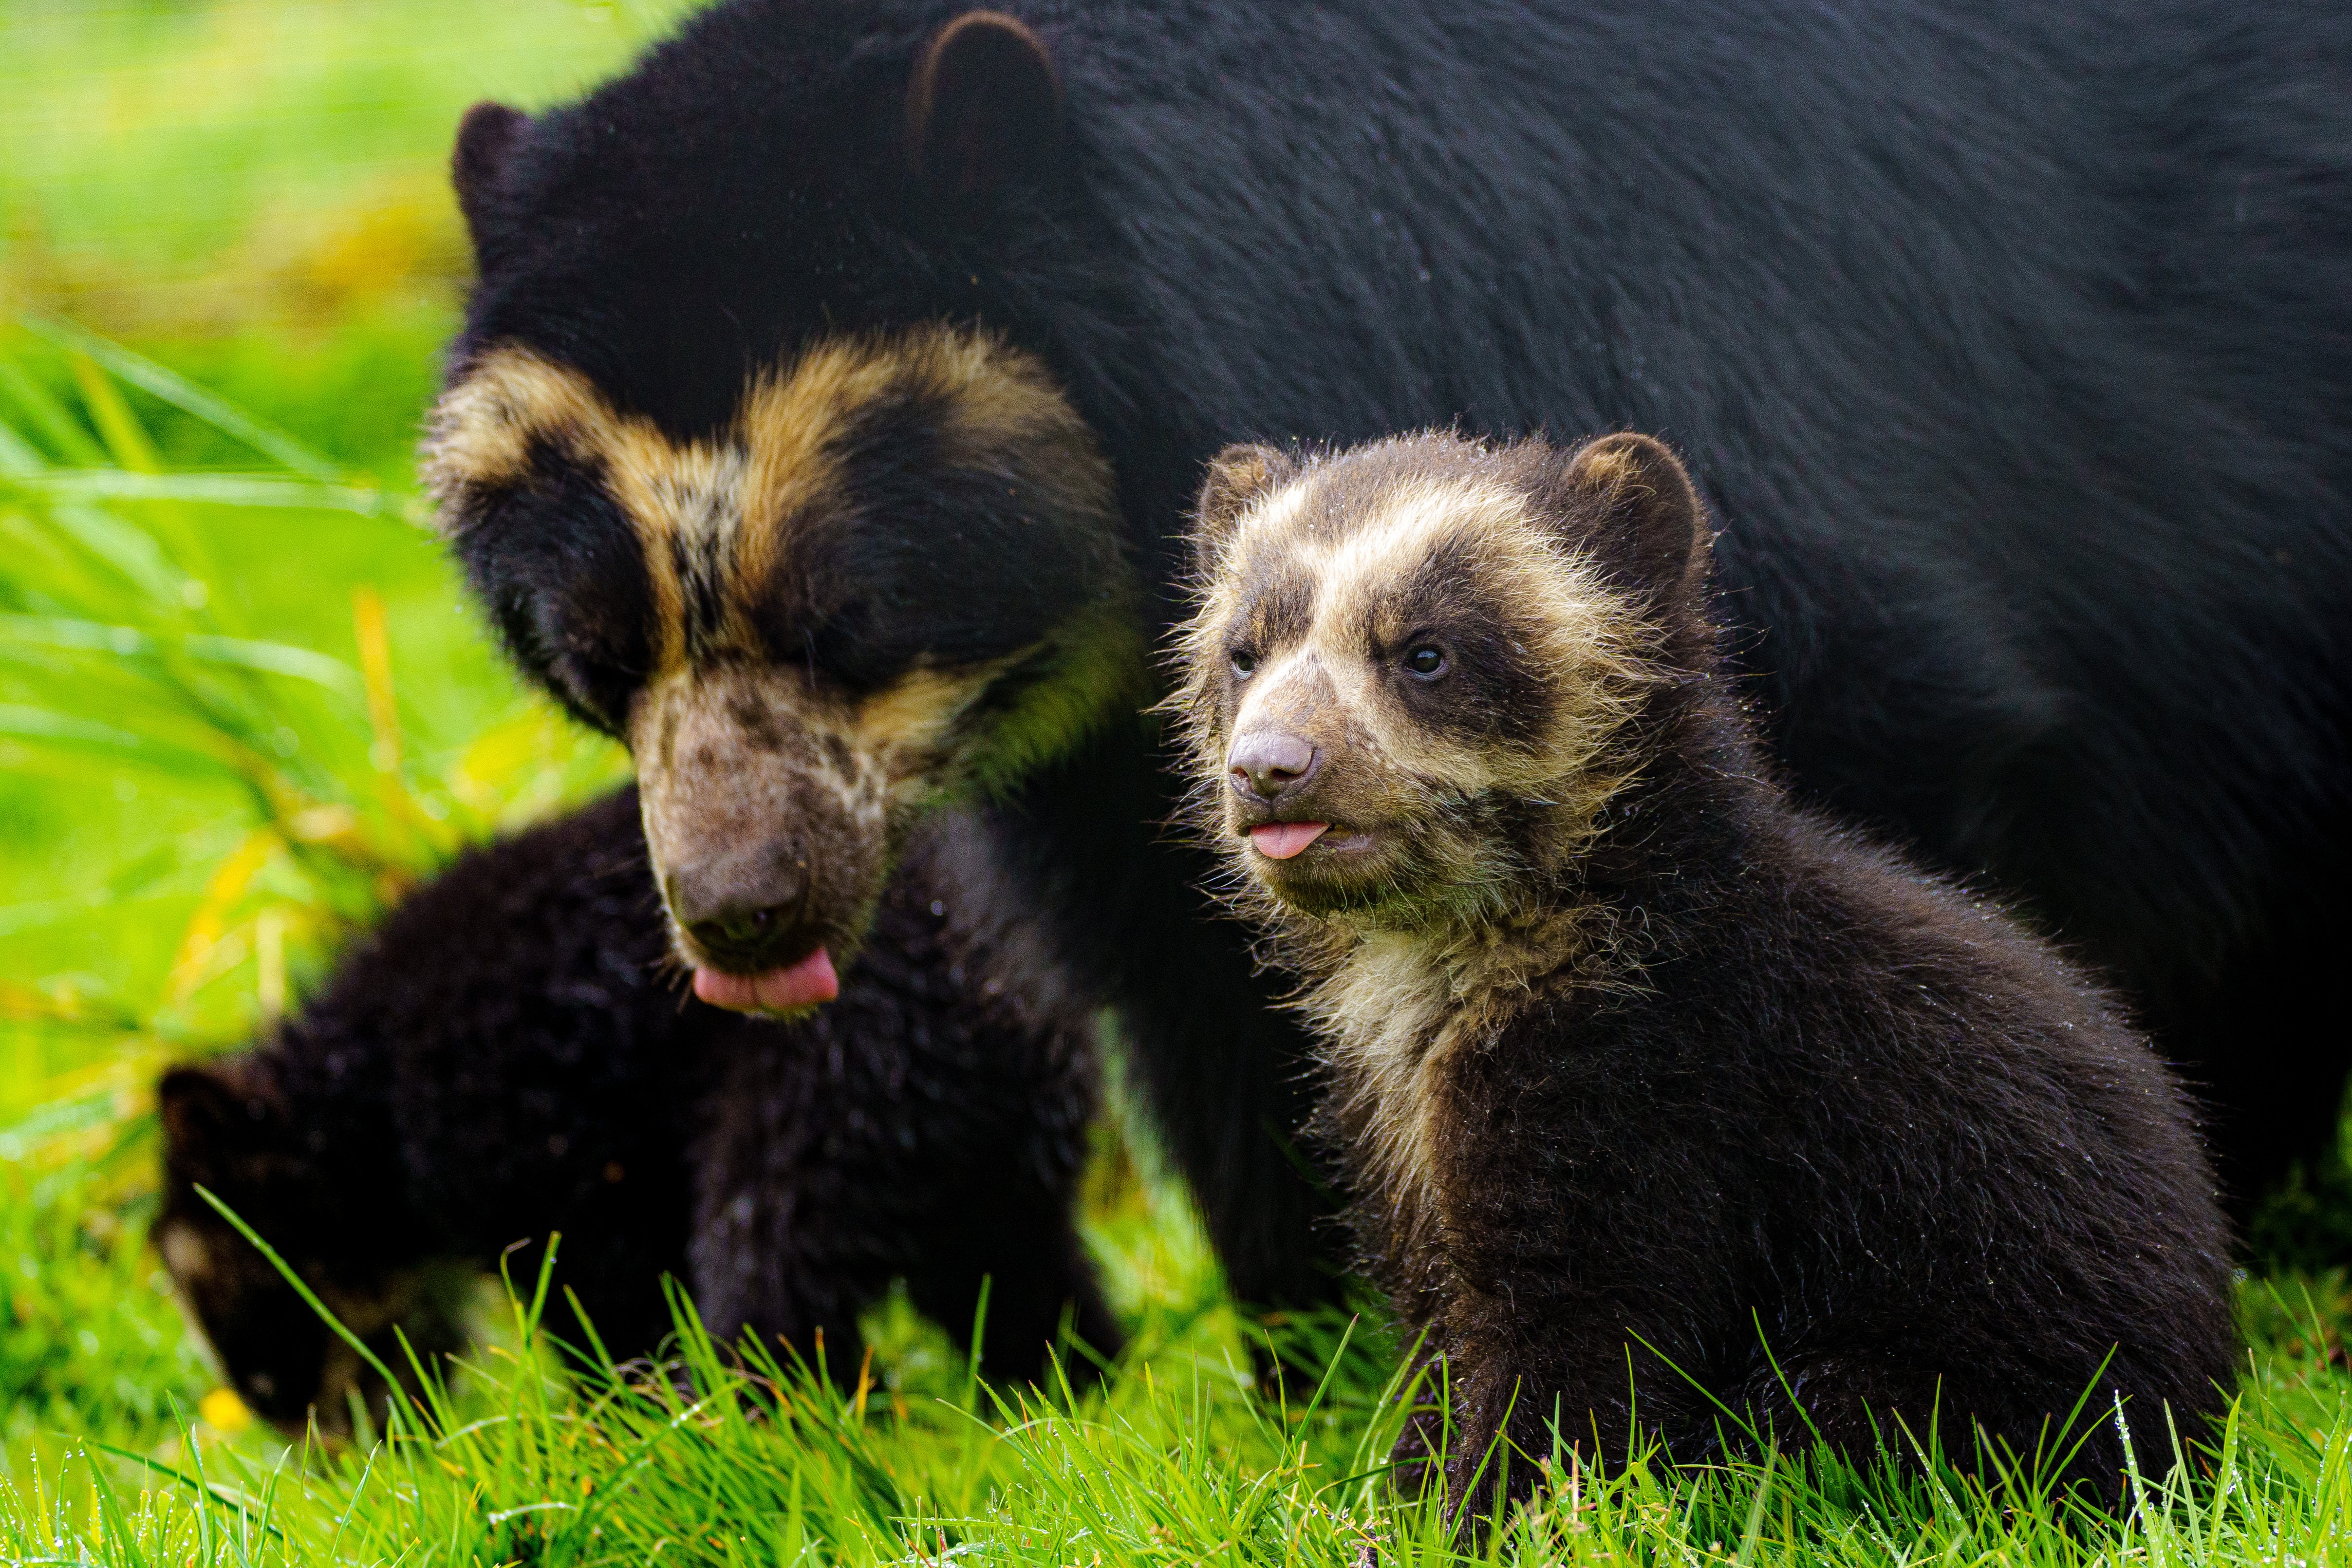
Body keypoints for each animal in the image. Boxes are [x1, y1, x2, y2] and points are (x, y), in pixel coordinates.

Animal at [155, 789, 1116, 1435]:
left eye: (252, 1297)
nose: (329, 1457)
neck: (373, 1097)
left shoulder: (555, 1162)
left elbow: (611, 1312)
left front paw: (623, 1430)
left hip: (833, 1091)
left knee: (771, 1280)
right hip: (983, 1138)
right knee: (1025, 1280)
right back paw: (1062, 1402)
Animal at [424, 0, 2350, 1320]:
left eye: (854, 614)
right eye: (587, 653)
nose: (745, 918)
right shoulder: (1110, 747)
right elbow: (1191, 964)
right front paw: (1316, 1345)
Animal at [1167, 429, 2239, 1510]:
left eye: (1426, 652)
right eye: (1245, 652)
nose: (1270, 769)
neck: (1464, 962)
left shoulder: (1656, 1086)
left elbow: (1582, 1331)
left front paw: (1488, 1512)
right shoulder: (1392, 1129)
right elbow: (1442, 1329)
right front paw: (1400, 1492)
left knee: (1823, 1418)